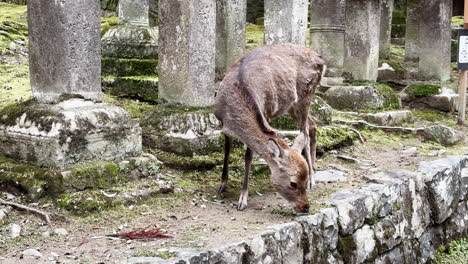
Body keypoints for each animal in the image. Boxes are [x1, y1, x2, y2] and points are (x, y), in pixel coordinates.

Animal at [214, 42, 324, 212]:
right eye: (293, 183)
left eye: (302, 182)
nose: (306, 207)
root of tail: (320, 59)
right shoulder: (222, 123)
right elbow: (227, 149)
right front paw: (222, 184)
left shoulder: (266, 112)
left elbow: (248, 156)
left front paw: (242, 200)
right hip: (292, 105)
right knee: (312, 125)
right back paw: (315, 167)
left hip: (306, 95)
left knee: (305, 130)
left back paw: (313, 177)